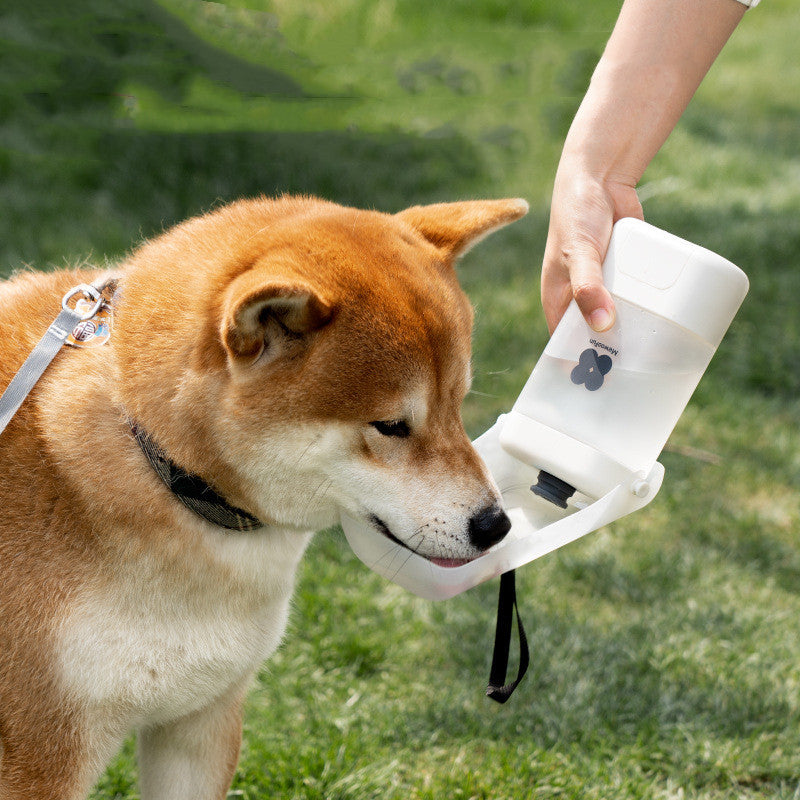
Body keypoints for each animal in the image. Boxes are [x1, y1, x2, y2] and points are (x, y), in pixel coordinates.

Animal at [0, 195, 524, 800]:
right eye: (392, 426)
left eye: (457, 404)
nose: (495, 526)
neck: (163, 465)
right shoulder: (43, 753)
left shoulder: (204, 716)